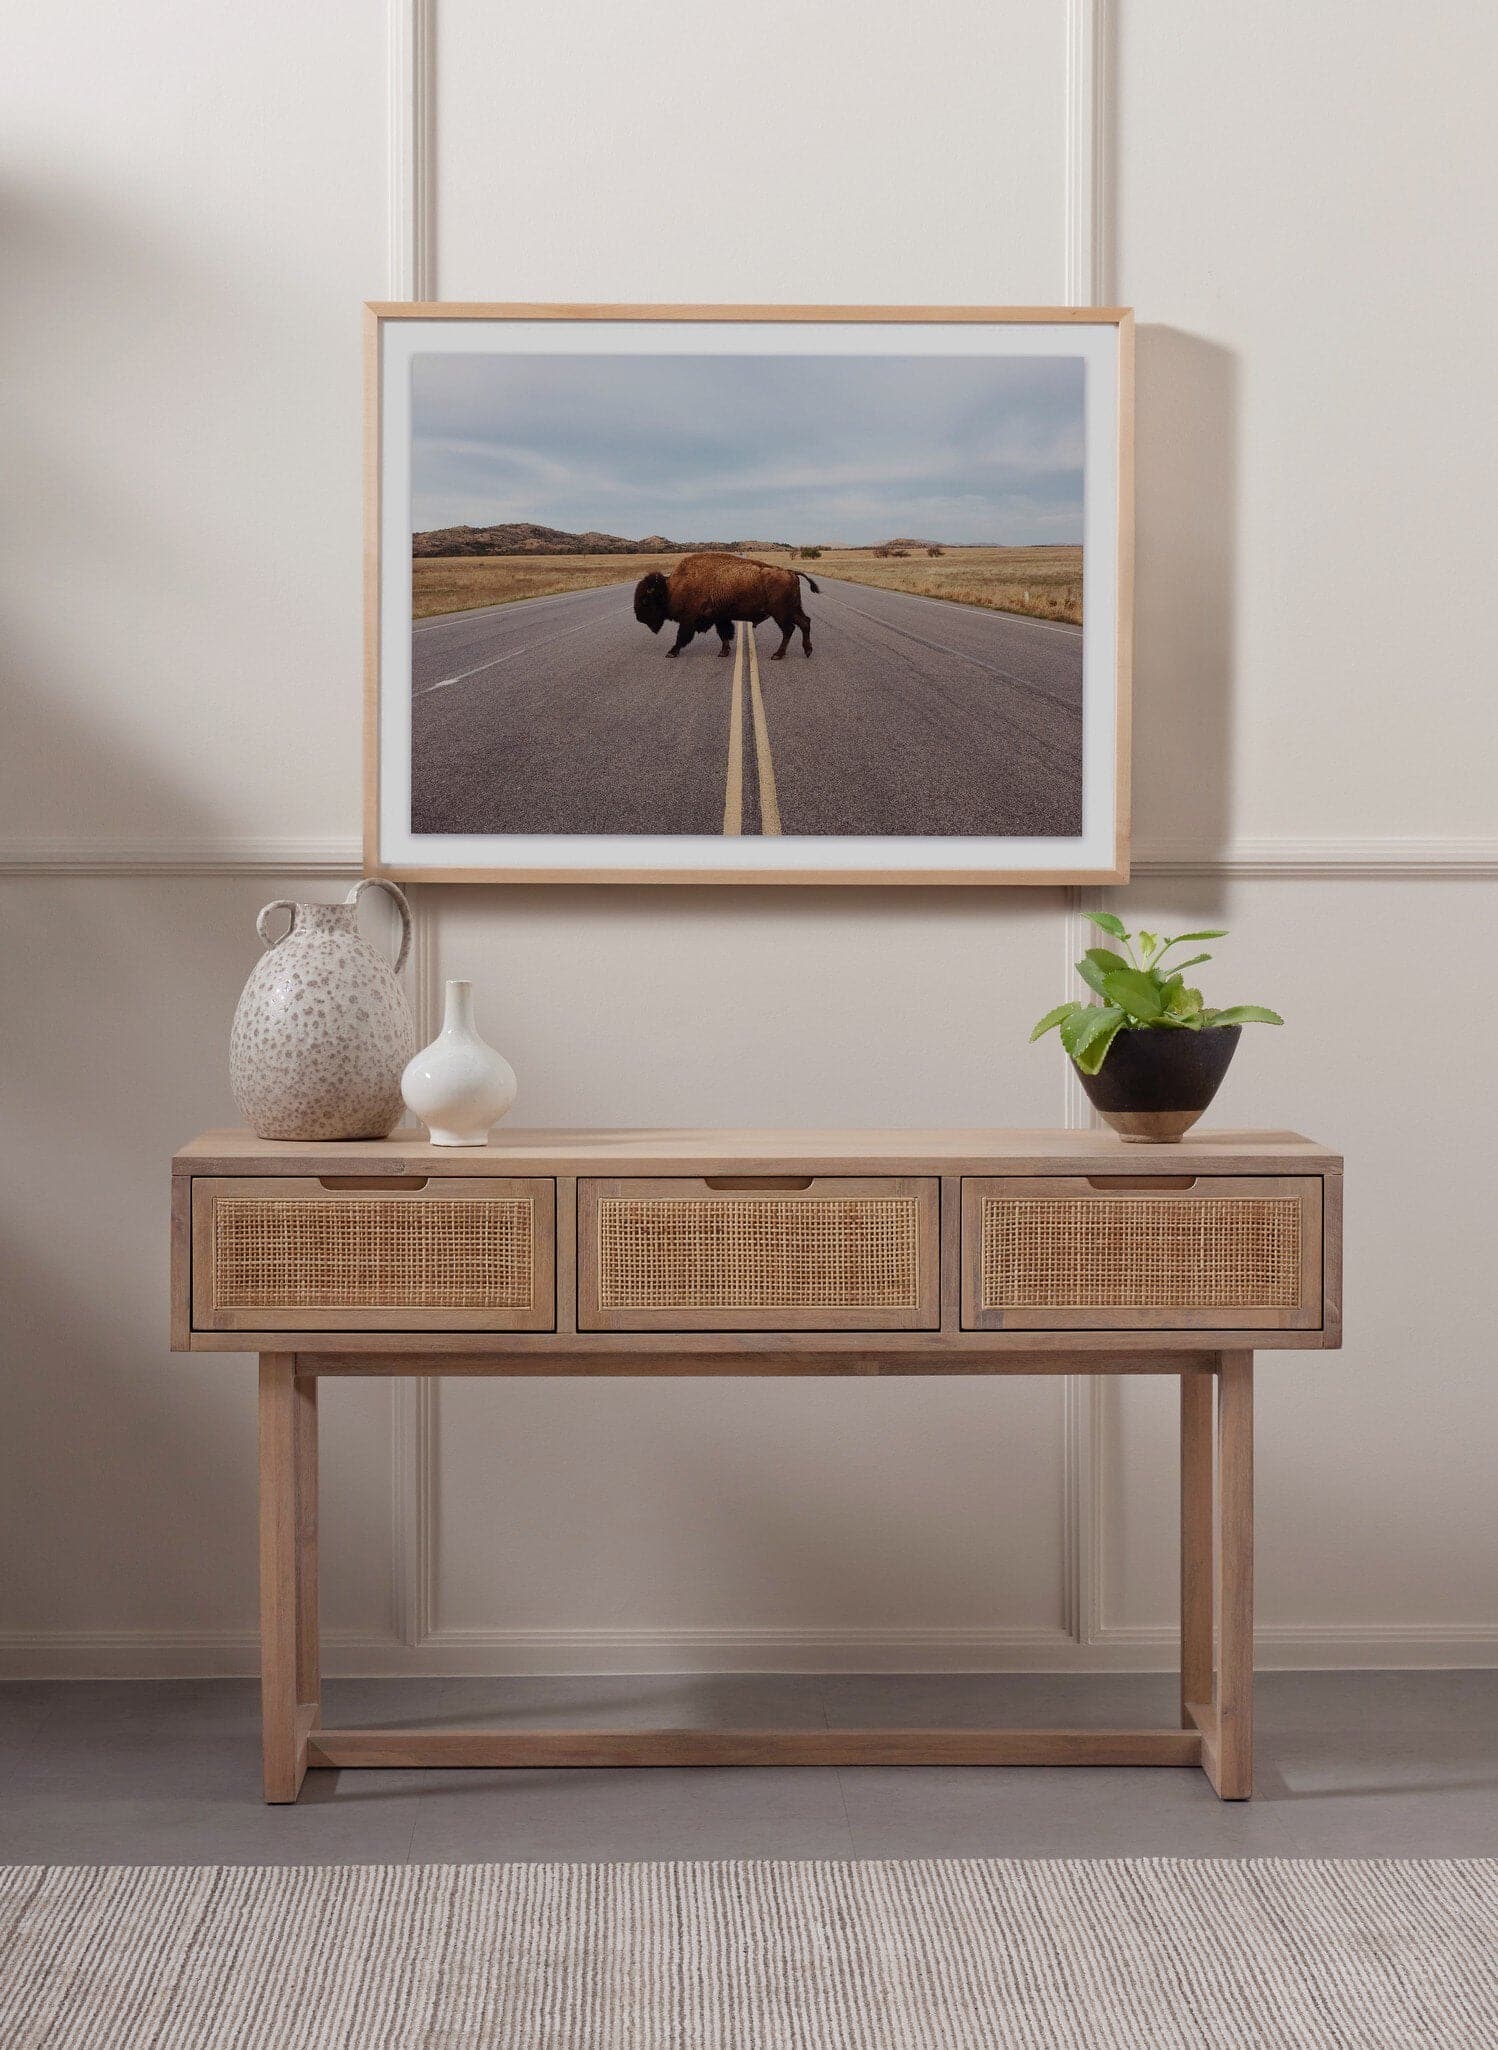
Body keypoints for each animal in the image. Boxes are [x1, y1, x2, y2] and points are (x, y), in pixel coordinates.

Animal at [631, 553, 819, 656]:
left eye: (644, 600)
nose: (639, 618)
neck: (672, 588)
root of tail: (790, 572)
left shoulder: (688, 619)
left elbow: (681, 637)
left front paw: (671, 652)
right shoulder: (719, 618)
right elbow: (724, 634)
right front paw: (723, 652)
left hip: (781, 613)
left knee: (789, 629)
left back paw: (778, 655)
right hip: (793, 609)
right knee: (805, 623)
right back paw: (807, 651)